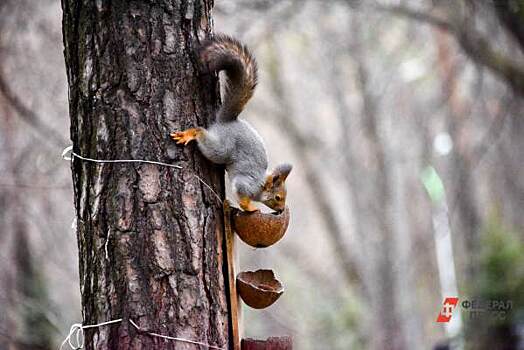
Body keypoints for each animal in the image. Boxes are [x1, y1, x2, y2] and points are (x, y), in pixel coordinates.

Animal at [171, 34, 290, 213]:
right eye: (277, 197)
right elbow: (241, 194)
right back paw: (190, 134)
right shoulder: (246, 183)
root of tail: (228, 121)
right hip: (222, 149)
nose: (282, 210)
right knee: (203, 135)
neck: (261, 184)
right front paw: (250, 207)